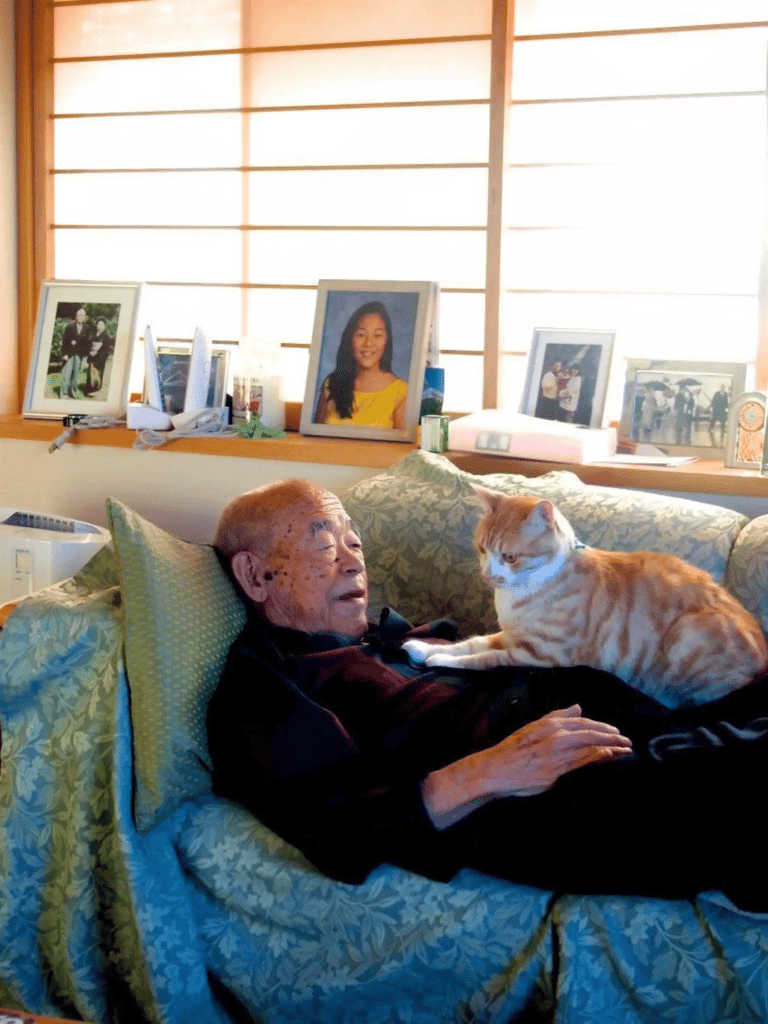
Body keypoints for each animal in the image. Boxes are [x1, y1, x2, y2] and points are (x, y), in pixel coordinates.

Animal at [403, 485, 768, 708]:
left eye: (509, 557)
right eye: (481, 549)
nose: (486, 575)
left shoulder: (542, 655)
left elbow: (482, 660)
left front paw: (440, 660)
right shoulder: (510, 635)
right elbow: (473, 643)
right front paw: (423, 648)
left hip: (688, 633)